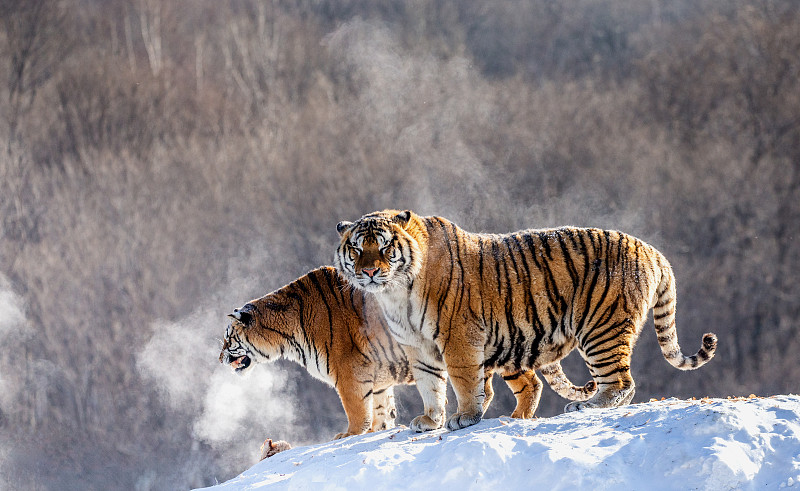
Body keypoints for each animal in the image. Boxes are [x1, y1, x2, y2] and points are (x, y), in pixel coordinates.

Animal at [219, 268, 592, 440]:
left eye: (227, 338)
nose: (220, 359)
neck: (287, 333)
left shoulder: (348, 373)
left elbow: (356, 409)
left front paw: (349, 434)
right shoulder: (377, 378)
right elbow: (380, 409)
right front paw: (377, 430)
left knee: (530, 383)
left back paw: (516, 418)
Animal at [332, 209, 720, 432]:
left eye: (385, 248)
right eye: (356, 248)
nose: (369, 271)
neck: (396, 293)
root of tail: (652, 250)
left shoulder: (459, 338)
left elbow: (463, 382)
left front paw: (464, 416)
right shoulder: (419, 347)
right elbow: (431, 385)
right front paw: (431, 420)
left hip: (601, 329)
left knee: (621, 383)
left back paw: (586, 405)